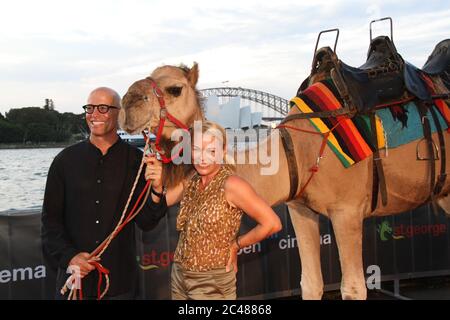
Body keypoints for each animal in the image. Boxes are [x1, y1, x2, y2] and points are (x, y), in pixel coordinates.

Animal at [117, 47, 450, 300]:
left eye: (175, 88)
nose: (126, 103)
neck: (297, 152)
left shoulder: (348, 211)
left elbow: (354, 288)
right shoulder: (300, 208)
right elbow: (311, 283)